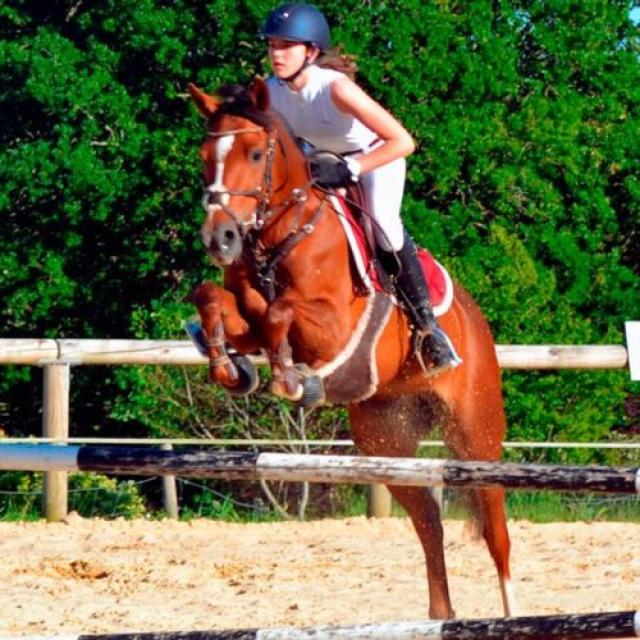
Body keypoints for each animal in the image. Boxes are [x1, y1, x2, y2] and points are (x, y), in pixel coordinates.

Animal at [186, 76, 516, 620]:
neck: (281, 234)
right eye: (204, 155)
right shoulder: (245, 315)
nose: (221, 238)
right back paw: (440, 617)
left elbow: (280, 314)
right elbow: (214, 298)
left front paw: (290, 379)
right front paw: (232, 369)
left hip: (476, 436)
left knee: (495, 529)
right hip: (386, 440)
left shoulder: (332, 326)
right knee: (428, 520)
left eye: (255, 154)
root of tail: (476, 321)